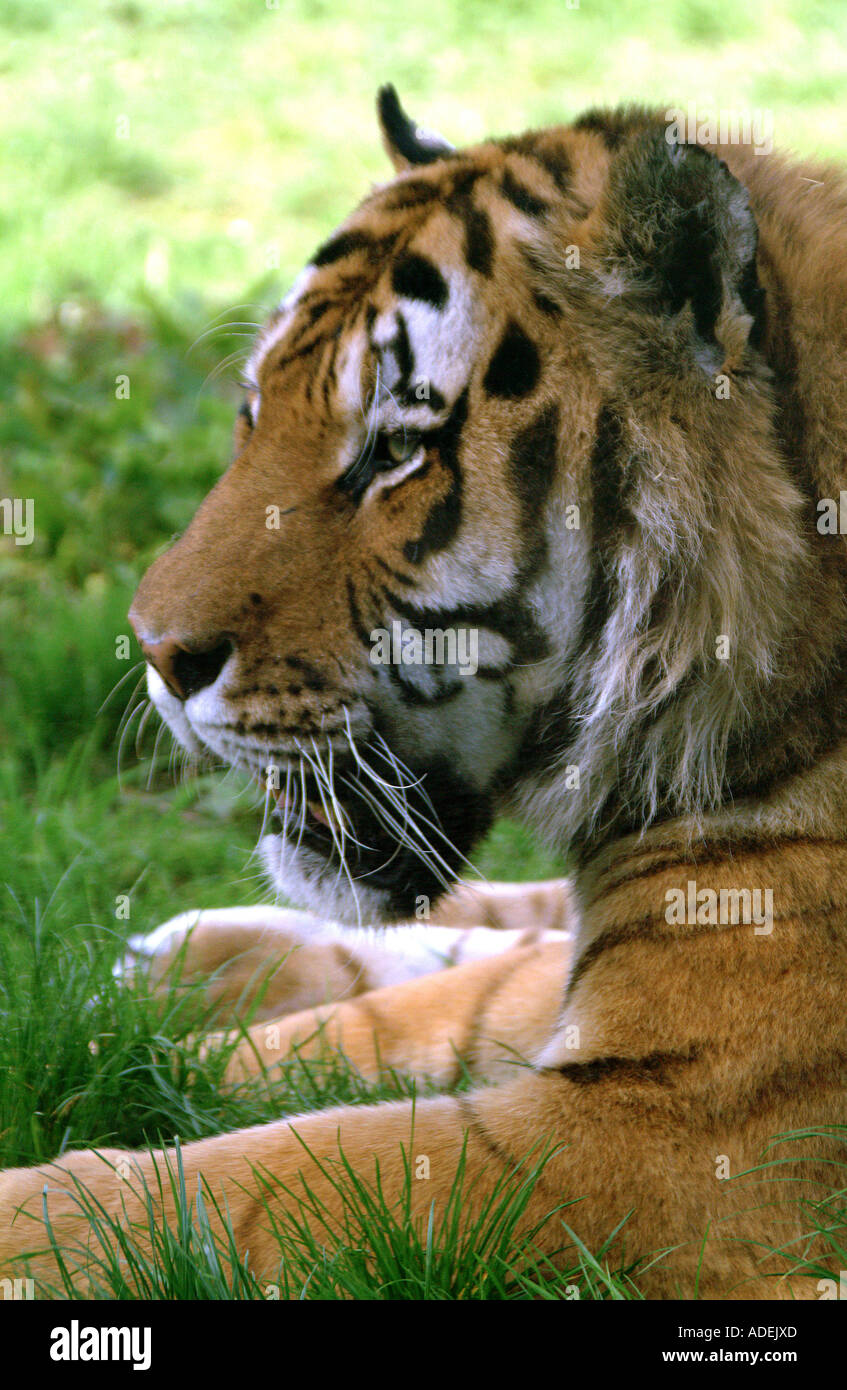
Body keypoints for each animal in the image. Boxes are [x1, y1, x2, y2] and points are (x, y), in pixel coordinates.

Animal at [4, 86, 845, 1295]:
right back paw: (188, 958)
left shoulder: (668, 1136)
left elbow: (247, 1180)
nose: (155, 652)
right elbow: (409, 1018)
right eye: (253, 411)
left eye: (395, 451)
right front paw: (133, 1054)